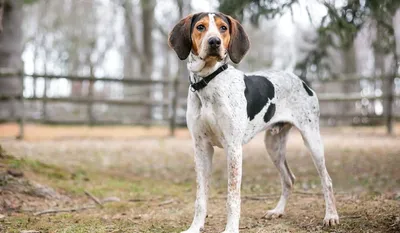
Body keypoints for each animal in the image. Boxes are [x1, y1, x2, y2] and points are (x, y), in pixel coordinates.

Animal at [167, 12, 340, 233]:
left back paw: (331, 216)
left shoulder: (233, 148)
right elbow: (200, 198)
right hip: (273, 146)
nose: (214, 42)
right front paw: (195, 227)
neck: (209, 82)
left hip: (312, 140)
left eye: (223, 28)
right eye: (200, 27)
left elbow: (232, 197)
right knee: (289, 179)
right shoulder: (201, 148)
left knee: (327, 180)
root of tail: (302, 81)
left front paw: (231, 229)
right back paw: (278, 211)